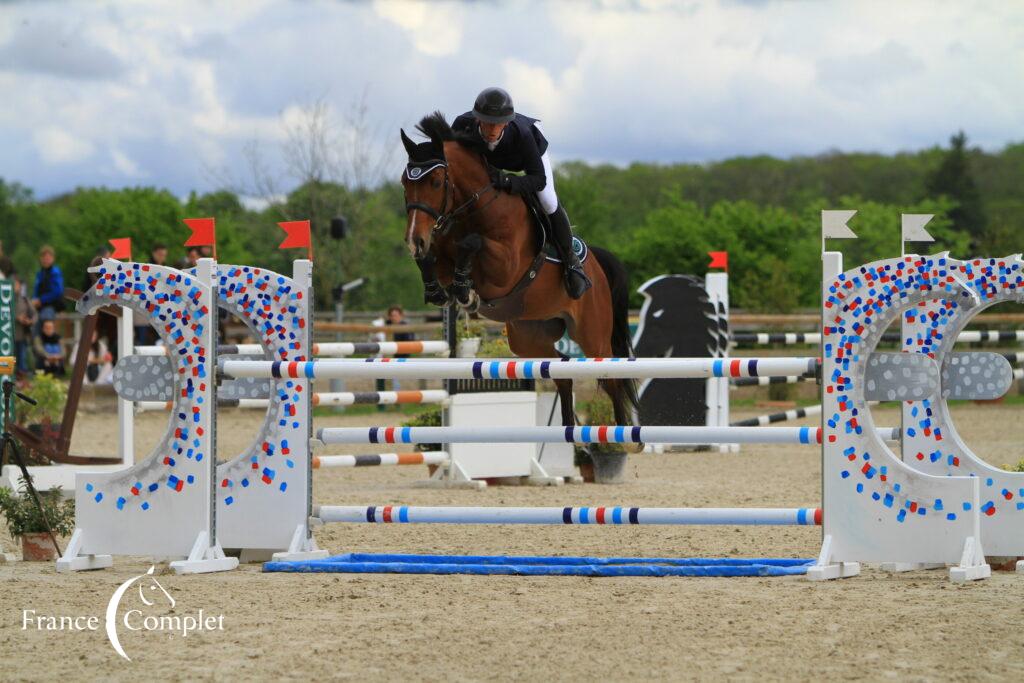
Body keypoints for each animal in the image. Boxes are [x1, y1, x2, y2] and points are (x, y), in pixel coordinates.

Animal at [401, 111, 634, 446]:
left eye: (435, 181)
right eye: (405, 182)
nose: (413, 240)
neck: (474, 207)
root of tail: (597, 267)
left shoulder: (505, 268)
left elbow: (472, 243)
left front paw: (465, 290)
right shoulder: (443, 253)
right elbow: (434, 258)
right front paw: (440, 289)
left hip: (592, 336)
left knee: (610, 376)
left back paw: (625, 437)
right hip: (527, 336)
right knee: (561, 367)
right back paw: (571, 434)